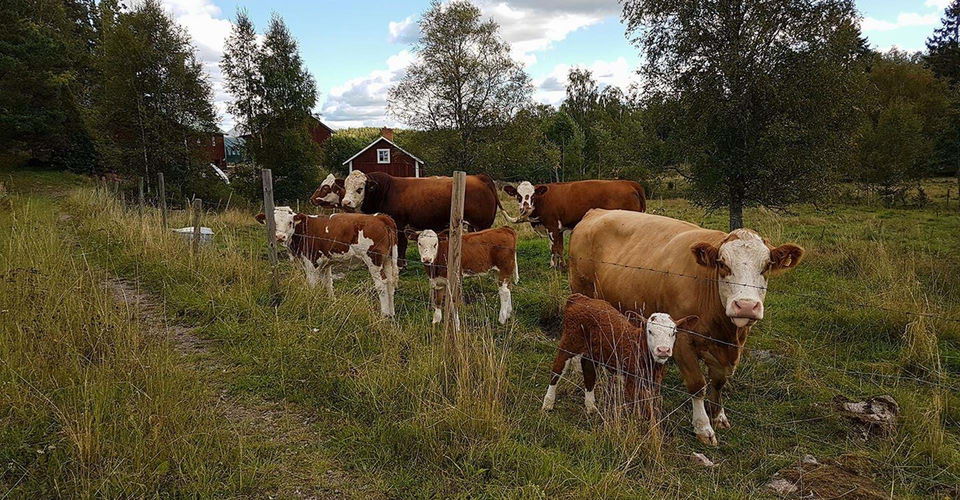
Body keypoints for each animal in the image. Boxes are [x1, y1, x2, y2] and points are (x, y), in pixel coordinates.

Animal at [253, 206, 400, 316]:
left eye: (290, 222)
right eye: (273, 223)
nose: (279, 236)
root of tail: (379, 217)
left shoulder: (311, 262)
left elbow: (312, 285)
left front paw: (311, 302)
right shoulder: (326, 263)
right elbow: (328, 283)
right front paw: (331, 303)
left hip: (374, 260)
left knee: (381, 285)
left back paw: (384, 315)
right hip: (388, 260)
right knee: (390, 283)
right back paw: (391, 314)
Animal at [342, 170, 512, 268]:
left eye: (360, 188)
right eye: (345, 186)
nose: (345, 203)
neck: (386, 191)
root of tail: (480, 177)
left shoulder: (400, 224)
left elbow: (402, 244)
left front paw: (401, 265)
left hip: (482, 224)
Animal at [502, 178, 644, 268]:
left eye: (532, 195)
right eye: (518, 196)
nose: (525, 208)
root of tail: (629, 183)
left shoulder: (551, 226)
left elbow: (553, 248)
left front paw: (553, 266)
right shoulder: (558, 229)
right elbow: (559, 247)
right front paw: (562, 265)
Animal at [540, 292, 696, 418]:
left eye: (674, 332)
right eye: (650, 331)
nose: (663, 350)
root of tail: (580, 298)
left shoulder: (653, 383)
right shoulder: (632, 381)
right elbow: (643, 408)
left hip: (592, 350)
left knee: (588, 371)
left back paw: (591, 407)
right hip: (569, 342)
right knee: (557, 369)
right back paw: (548, 403)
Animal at [568, 209, 804, 444]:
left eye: (767, 266)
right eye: (722, 264)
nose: (746, 305)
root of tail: (597, 211)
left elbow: (718, 382)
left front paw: (718, 416)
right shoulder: (681, 340)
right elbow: (697, 384)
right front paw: (703, 427)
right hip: (582, 290)